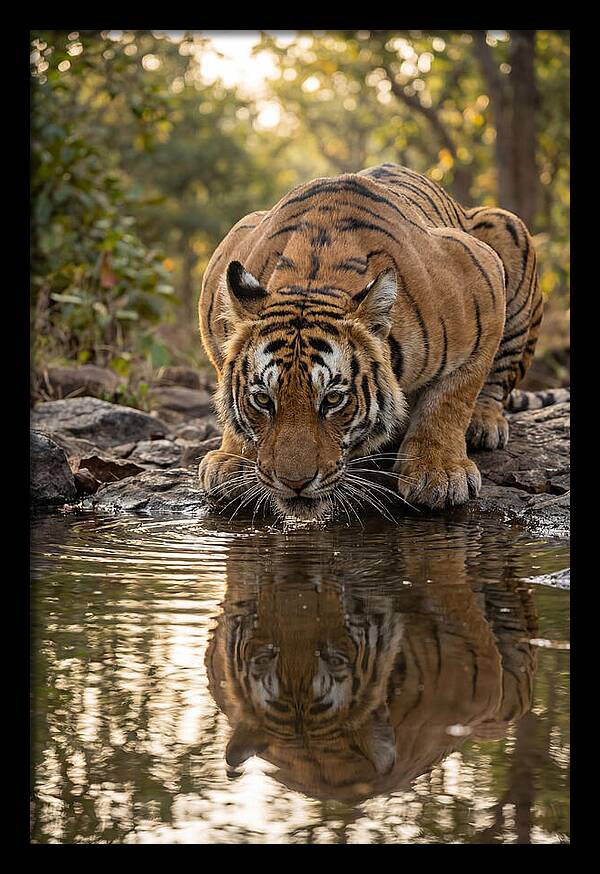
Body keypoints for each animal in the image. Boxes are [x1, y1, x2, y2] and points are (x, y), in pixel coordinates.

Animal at [198, 163, 544, 517]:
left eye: (333, 400)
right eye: (263, 400)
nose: (295, 483)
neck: (312, 279)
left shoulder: (482, 279)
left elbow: (451, 397)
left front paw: (439, 472)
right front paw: (231, 459)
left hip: (507, 227)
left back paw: (484, 424)